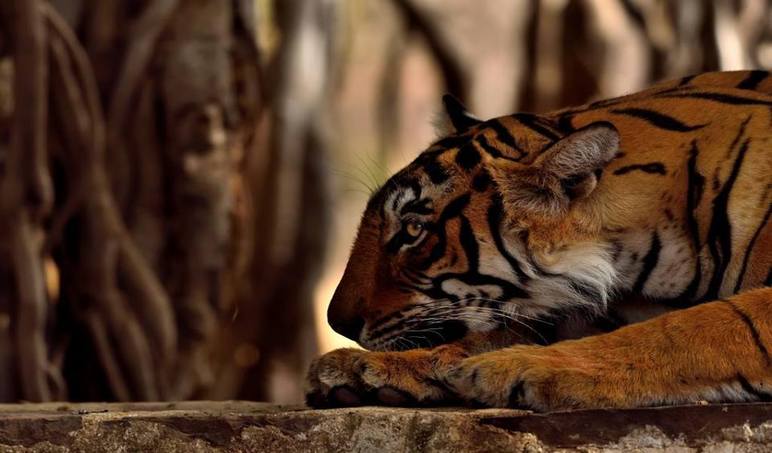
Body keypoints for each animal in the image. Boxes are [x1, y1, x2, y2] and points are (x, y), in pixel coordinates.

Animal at [304, 69, 772, 410]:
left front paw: (513, 369)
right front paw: (361, 369)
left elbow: (686, 330)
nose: (336, 323)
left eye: (413, 230)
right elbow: (504, 331)